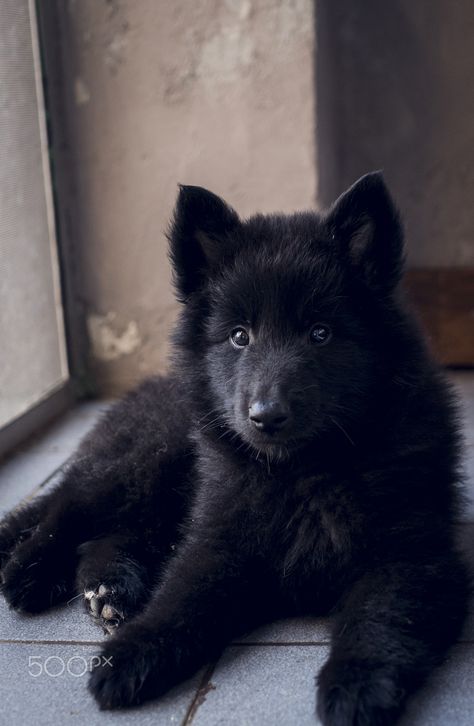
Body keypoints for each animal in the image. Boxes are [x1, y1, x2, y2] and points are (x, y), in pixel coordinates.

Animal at [0, 173, 468, 724]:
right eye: (239, 336)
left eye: (320, 333)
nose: (265, 416)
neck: (301, 473)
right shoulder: (220, 537)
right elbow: (182, 596)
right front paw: (133, 653)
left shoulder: (409, 555)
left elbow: (379, 620)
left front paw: (355, 687)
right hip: (146, 463)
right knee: (67, 508)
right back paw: (28, 573)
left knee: (110, 536)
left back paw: (109, 591)